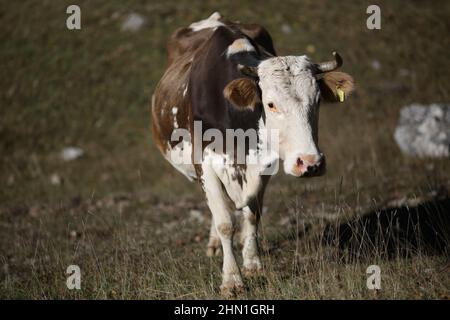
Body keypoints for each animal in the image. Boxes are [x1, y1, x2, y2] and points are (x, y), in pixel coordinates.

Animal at [152, 12, 356, 298]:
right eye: (270, 104)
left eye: (317, 100)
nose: (310, 163)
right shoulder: (204, 162)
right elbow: (224, 221)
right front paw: (231, 280)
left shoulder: (264, 163)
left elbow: (252, 213)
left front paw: (252, 264)